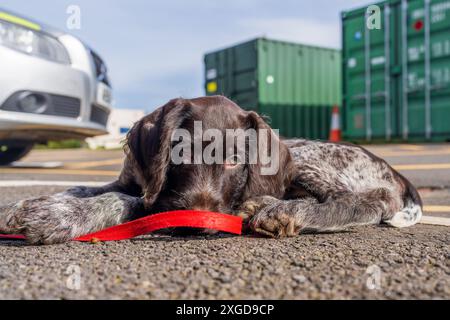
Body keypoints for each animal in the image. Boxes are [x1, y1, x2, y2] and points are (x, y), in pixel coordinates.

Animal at [0, 96, 422, 244]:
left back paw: (286, 210)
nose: (198, 222)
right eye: (179, 153)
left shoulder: (151, 200)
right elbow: (84, 188)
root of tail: (396, 173)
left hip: (308, 155)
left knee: (365, 203)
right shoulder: (136, 180)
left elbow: (121, 200)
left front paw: (61, 216)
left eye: (235, 160)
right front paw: (24, 206)